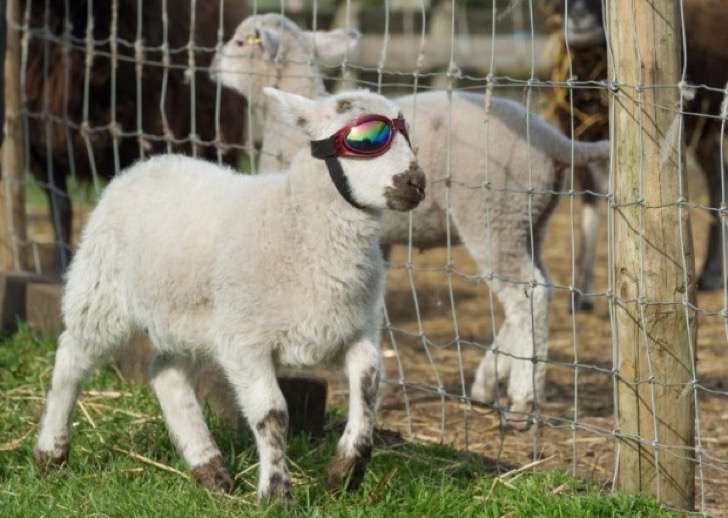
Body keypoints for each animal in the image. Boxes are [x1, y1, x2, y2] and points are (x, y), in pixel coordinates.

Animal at [34, 86, 426, 504]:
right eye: (364, 140)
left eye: (406, 133)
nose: (416, 182)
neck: (300, 224)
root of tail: (147, 163)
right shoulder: (246, 341)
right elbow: (272, 414)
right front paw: (277, 493)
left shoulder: (356, 329)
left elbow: (368, 386)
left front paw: (346, 473)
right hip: (101, 292)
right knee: (71, 360)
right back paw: (51, 453)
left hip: (193, 320)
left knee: (166, 373)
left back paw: (211, 469)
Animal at [213, 15, 612, 430]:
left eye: (240, 42)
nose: (212, 66)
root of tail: (553, 140)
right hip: (530, 218)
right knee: (539, 286)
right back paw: (489, 380)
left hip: (493, 214)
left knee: (525, 294)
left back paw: (522, 400)